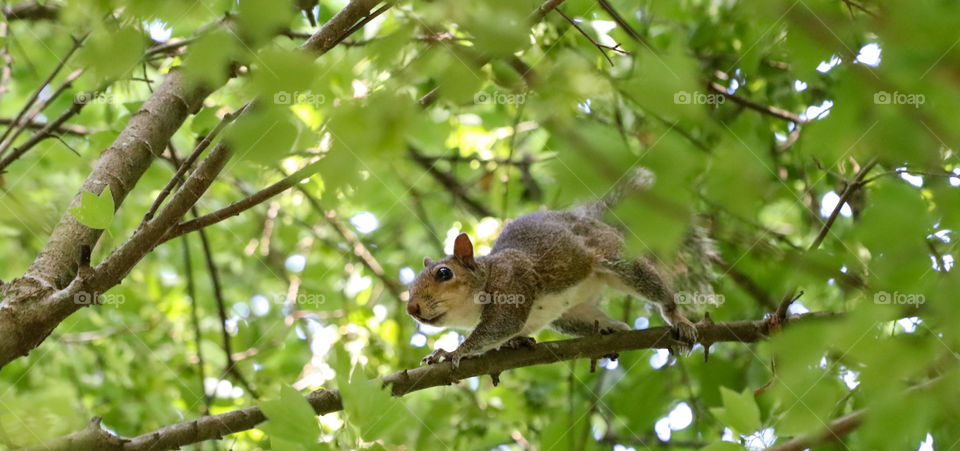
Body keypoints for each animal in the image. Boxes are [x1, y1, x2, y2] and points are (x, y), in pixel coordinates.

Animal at [406, 169, 702, 367]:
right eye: (409, 286)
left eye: (444, 273)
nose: (412, 308)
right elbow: (510, 332)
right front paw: (516, 342)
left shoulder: (512, 282)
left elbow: (501, 324)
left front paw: (451, 353)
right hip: (570, 316)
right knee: (604, 320)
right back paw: (611, 329)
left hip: (616, 259)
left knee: (653, 287)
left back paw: (678, 318)